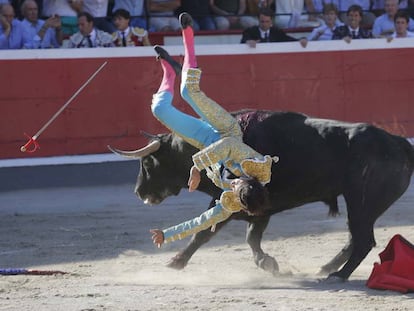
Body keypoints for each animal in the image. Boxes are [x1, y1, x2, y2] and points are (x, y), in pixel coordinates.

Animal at [109, 111, 414, 282]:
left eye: (148, 163)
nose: (139, 192)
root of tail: (399, 143)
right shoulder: (261, 209)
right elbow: (251, 237)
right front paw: (270, 264)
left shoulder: (230, 201)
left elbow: (204, 233)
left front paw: (175, 262)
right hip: (364, 207)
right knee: (355, 237)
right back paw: (326, 268)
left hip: (361, 203)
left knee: (363, 240)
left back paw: (337, 275)